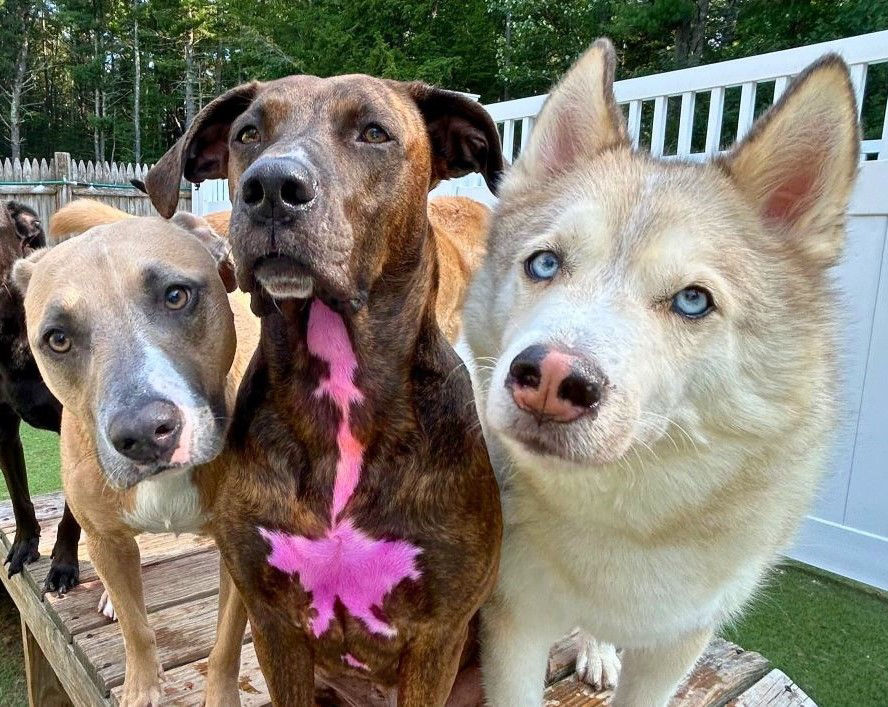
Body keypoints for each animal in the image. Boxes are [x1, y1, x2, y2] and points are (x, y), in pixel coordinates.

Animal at [13, 212, 258, 707]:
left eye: (176, 295)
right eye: (58, 339)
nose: (144, 433)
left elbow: (225, 643)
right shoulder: (105, 539)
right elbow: (136, 629)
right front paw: (142, 688)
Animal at [148, 74, 502, 704]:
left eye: (374, 133)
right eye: (248, 133)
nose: (271, 187)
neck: (337, 389)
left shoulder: (437, 637)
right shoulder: (273, 625)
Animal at [464, 40, 860, 707]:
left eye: (693, 301)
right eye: (544, 264)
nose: (552, 379)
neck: (624, 515)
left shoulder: (679, 641)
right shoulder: (515, 621)